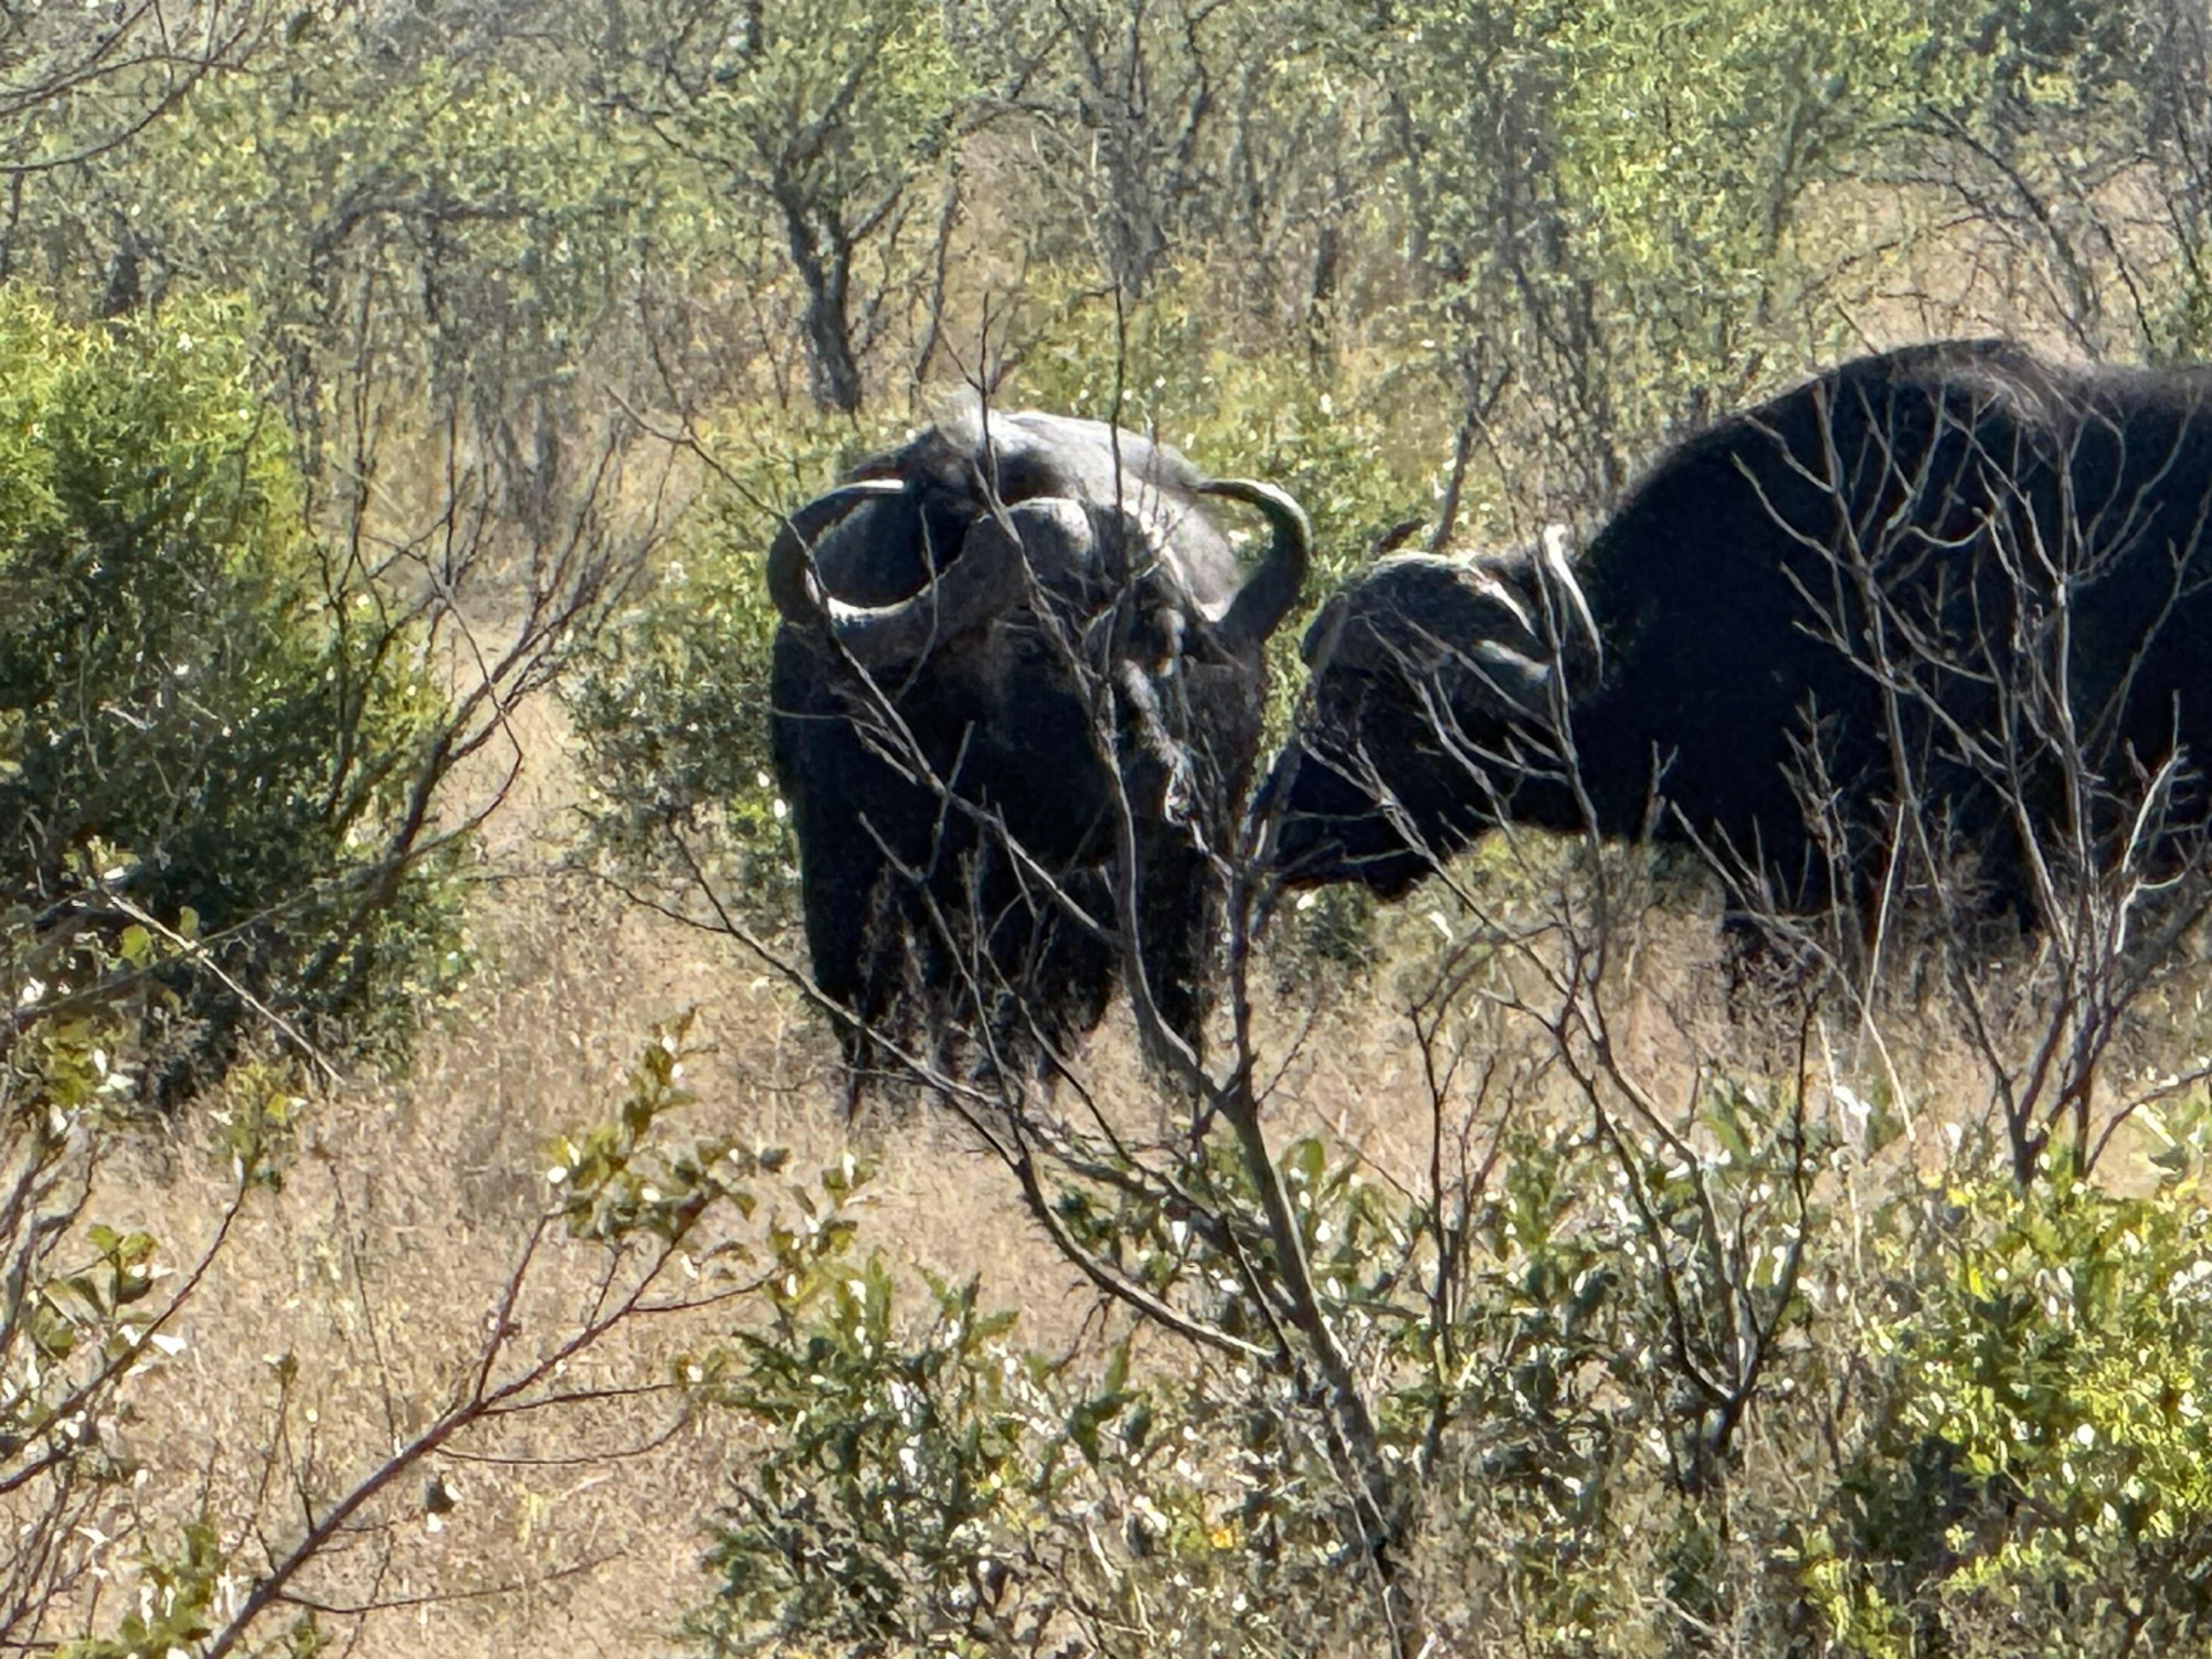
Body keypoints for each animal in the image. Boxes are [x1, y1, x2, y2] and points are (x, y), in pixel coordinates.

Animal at [768, 406, 1309, 1087]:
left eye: (1163, 643)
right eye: (1034, 642)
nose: (1161, 787)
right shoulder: (845, 876)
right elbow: (873, 1018)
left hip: (1189, 889)